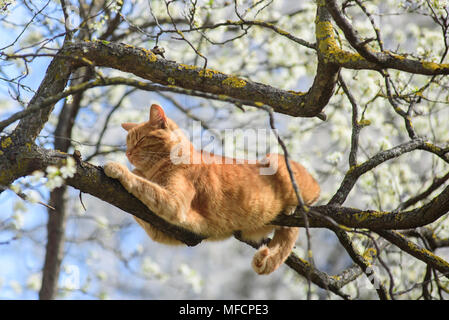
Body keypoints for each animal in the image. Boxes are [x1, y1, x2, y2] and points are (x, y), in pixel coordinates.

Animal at [103, 105, 320, 276]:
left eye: (140, 140)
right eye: (127, 143)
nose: (127, 153)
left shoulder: (175, 205)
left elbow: (142, 184)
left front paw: (117, 167)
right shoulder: (162, 231)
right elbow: (142, 191)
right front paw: (134, 170)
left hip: (277, 161)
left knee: (317, 191)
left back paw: (293, 206)